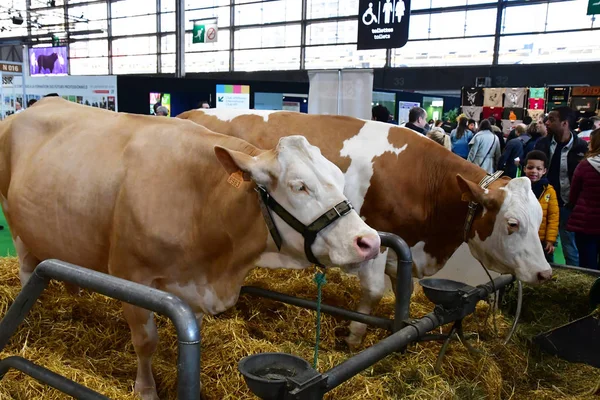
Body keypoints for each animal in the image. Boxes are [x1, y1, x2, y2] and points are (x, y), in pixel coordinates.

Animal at [0, 97, 380, 400]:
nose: (369, 241)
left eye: (339, 177)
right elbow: (145, 341)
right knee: (27, 270)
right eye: (299, 186)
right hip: (16, 225)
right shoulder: (130, 274)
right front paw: (146, 389)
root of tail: (40, 103)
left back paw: (75, 296)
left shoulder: (196, 286)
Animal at [177, 108, 552, 346]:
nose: (545, 273)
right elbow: (373, 290)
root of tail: (187, 114)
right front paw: (354, 336)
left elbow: (401, 290)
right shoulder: (379, 237)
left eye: (540, 219)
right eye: (512, 223)